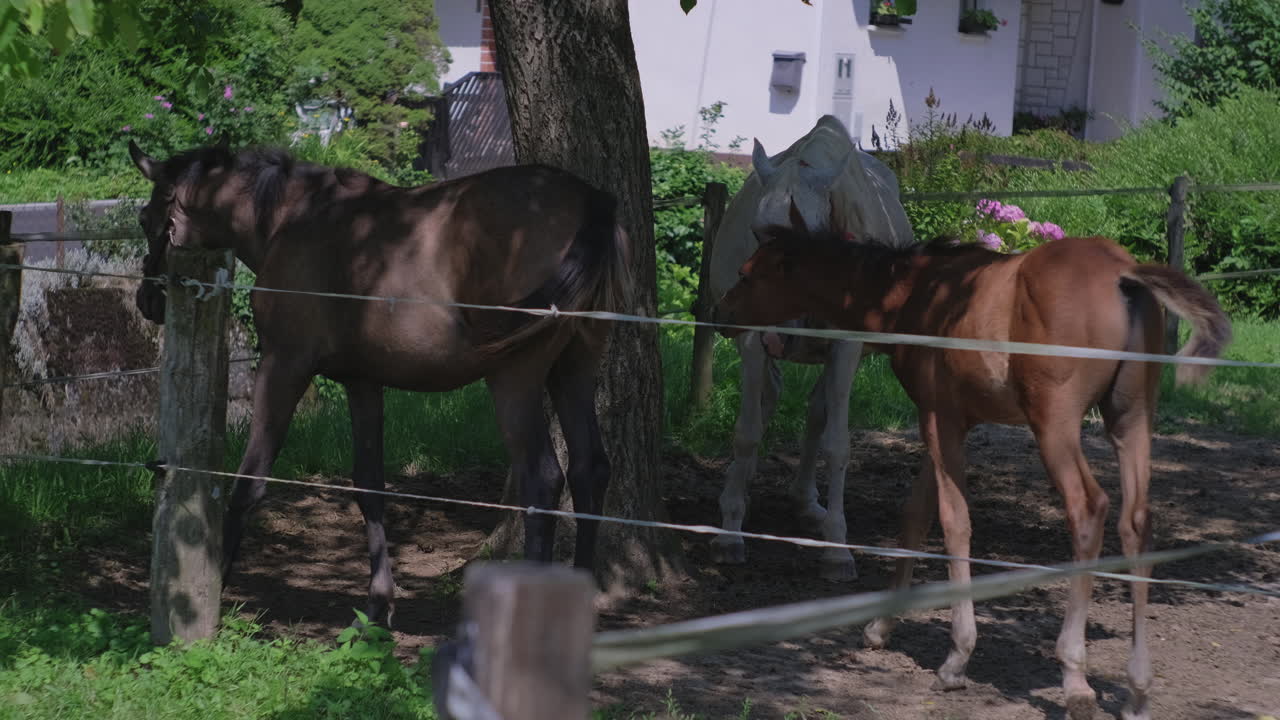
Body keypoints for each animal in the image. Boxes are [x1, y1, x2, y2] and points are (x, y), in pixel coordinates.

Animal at [127, 137, 633, 627]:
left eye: (146, 218)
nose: (146, 299)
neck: (295, 219)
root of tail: (586, 198)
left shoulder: (283, 366)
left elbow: (250, 480)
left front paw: (218, 583)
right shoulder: (362, 382)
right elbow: (369, 485)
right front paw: (377, 604)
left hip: (516, 377)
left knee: (543, 479)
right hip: (574, 369)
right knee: (590, 468)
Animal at [705, 115, 915, 581]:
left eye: (807, 243)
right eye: (756, 234)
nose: (778, 333)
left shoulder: (846, 349)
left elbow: (837, 444)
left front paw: (837, 549)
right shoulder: (752, 341)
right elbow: (747, 432)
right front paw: (730, 531)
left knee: (817, 413)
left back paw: (807, 504)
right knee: (766, 404)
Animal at [711, 203, 1232, 720]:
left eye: (746, 273)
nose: (720, 316)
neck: (918, 295)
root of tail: (1124, 273)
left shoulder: (940, 420)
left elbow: (953, 521)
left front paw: (957, 657)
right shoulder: (944, 419)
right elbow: (915, 516)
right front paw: (880, 627)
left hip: (1055, 424)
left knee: (1088, 511)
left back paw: (1075, 677)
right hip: (1131, 418)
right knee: (1136, 522)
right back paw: (1138, 690)